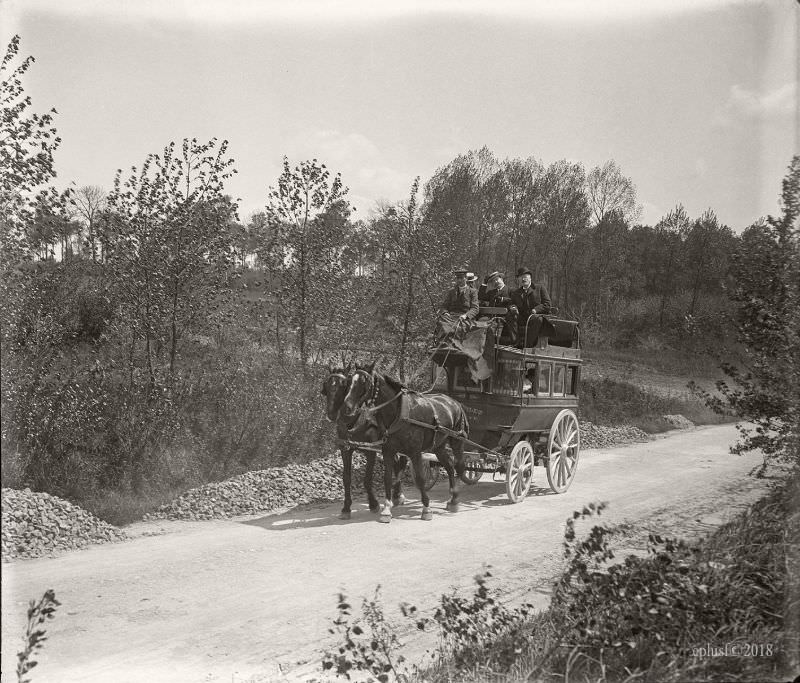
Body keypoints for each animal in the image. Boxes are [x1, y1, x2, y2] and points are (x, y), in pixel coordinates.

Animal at [320, 368, 406, 520]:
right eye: (327, 385)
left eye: (343, 385)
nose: (331, 414)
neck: (355, 421)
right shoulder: (346, 449)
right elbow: (346, 479)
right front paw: (346, 508)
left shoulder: (370, 451)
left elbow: (367, 479)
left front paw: (373, 504)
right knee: (397, 464)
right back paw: (396, 495)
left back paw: (398, 495)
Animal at [342, 364, 468, 524]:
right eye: (350, 381)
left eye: (364, 383)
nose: (347, 407)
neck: (399, 412)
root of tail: (455, 402)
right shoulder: (388, 451)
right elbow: (387, 478)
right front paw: (386, 509)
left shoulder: (415, 452)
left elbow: (420, 479)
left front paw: (426, 508)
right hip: (438, 446)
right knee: (450, 466)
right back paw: (453, 499)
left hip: (457, 442)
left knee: (457, 465)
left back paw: (455, 498)